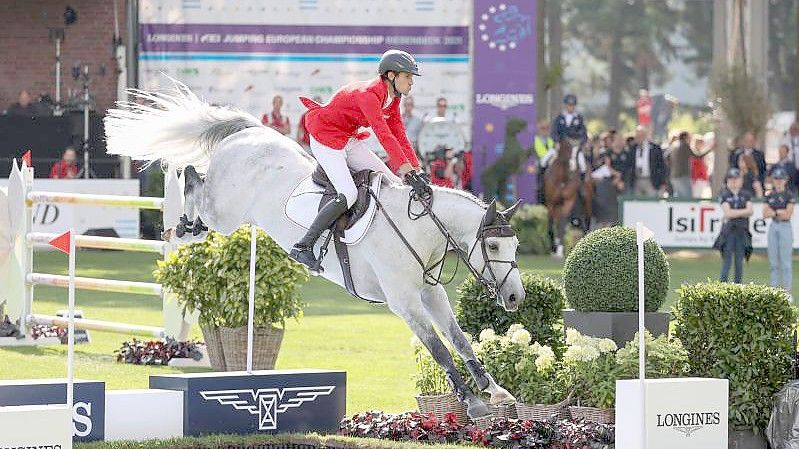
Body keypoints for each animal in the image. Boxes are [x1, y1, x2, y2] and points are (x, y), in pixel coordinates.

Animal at [103, 81, 528, 420]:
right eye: (492, 244)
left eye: (515, 244)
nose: (514, 298)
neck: (420, 228)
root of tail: (249, 133)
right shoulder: (405, 302)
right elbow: (439, 348)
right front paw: (475, 403)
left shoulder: (431, 292)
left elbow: (458, 338)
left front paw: (495, 390)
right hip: (225, 212)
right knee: (194, 181)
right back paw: (183, 222)